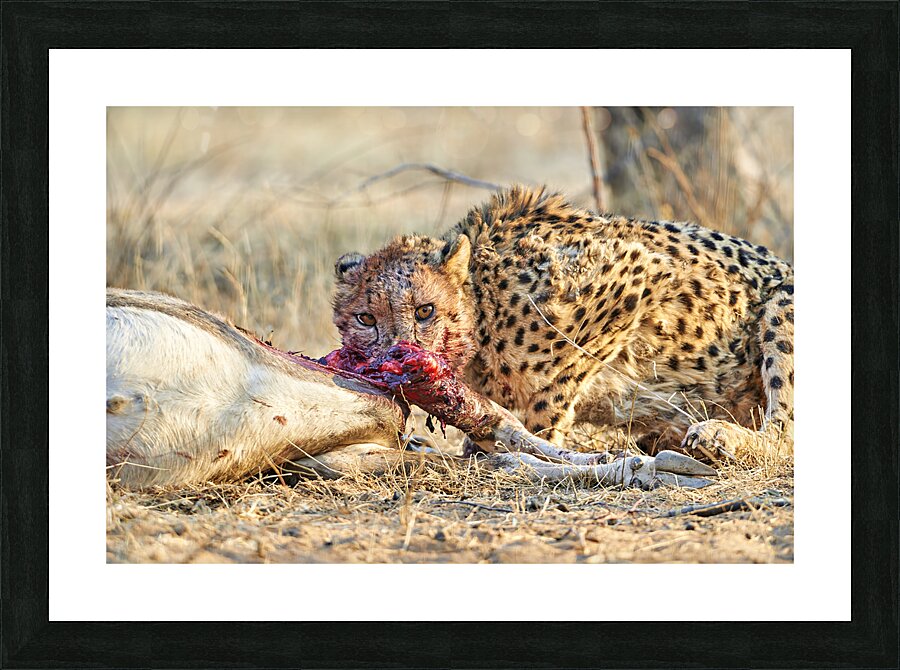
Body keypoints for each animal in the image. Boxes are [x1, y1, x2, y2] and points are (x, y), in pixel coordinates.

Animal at [331, 185, 794, 461]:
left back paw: (720, 436)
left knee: (785, 430)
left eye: (425, 311)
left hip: (782, 299)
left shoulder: (637, 274)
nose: (399, 355)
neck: (483, 305)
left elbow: (558, 383)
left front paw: (536, 443)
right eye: (366, 318)